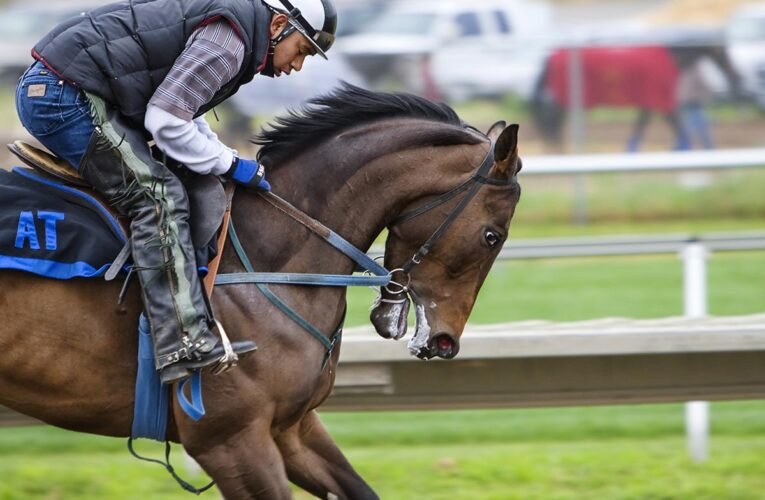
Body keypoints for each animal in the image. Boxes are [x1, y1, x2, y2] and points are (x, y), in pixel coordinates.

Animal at [528, 42, 736, 152]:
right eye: (722, 50)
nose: (735, 75)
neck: (671, 59)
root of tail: (552, 55)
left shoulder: (649, 103)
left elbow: (642, 125)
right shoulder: (660, 101)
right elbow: (678, 126)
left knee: (553, 120)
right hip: (565, 99)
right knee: (552, 119)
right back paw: (555, 147)